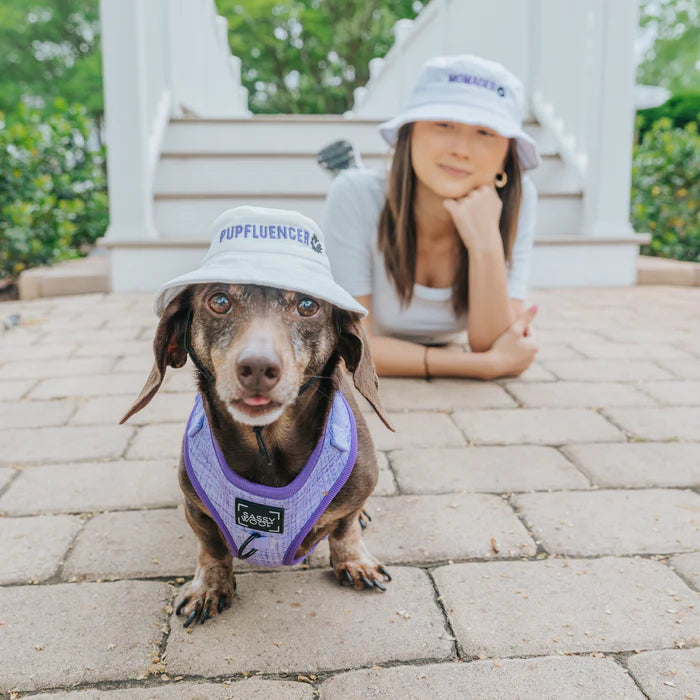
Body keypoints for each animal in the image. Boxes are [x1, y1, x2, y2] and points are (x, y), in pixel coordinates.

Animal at [121, 282, 394, 628]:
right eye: (219, 301)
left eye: (308, 306)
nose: (259, 368)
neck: (267, 441)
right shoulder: (195, 508)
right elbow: (211, 549)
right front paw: (209, 587)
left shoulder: (357, 491)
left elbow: (345, 529)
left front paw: (354, 562)